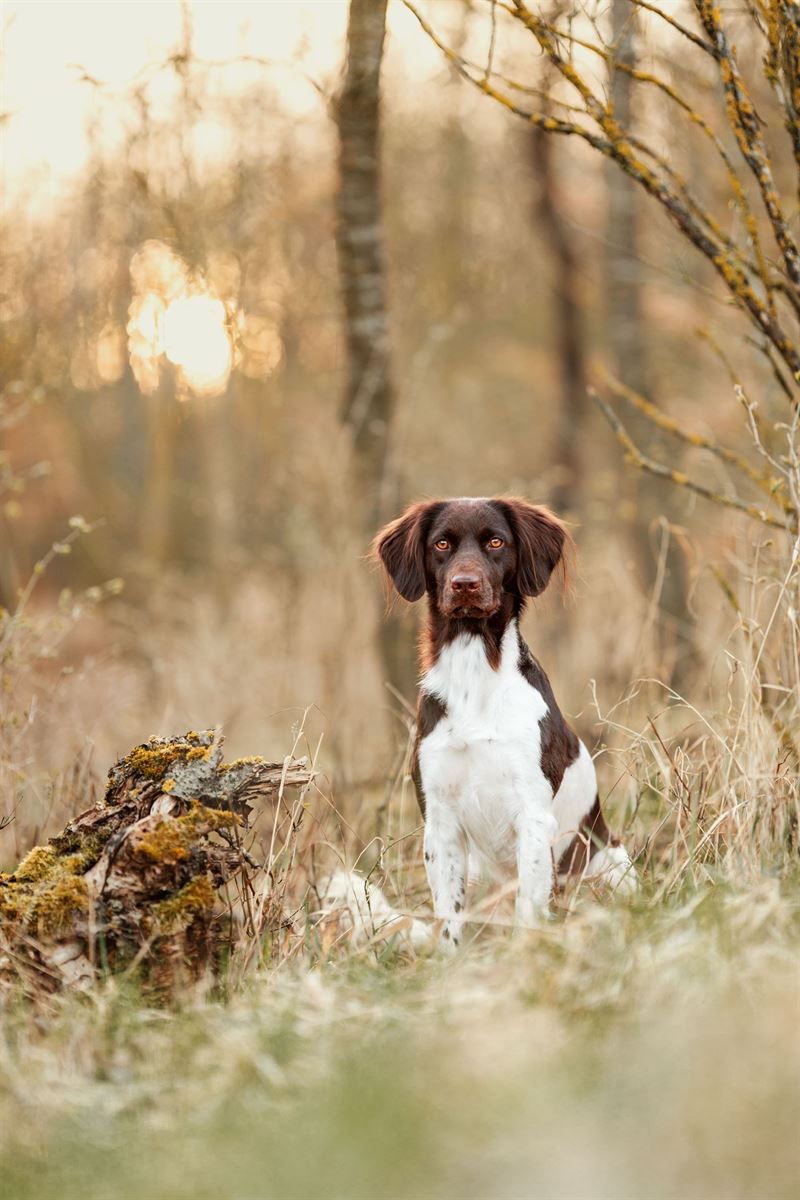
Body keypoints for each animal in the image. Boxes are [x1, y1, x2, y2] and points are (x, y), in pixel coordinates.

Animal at [376, 496, 638, 945]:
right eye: (441, 544)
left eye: (496, 542)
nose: (465, 584)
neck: (475, 674)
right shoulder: (439, 820)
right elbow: (449, 917)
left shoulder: (532, 814)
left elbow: (528, 910)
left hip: (611, 865)